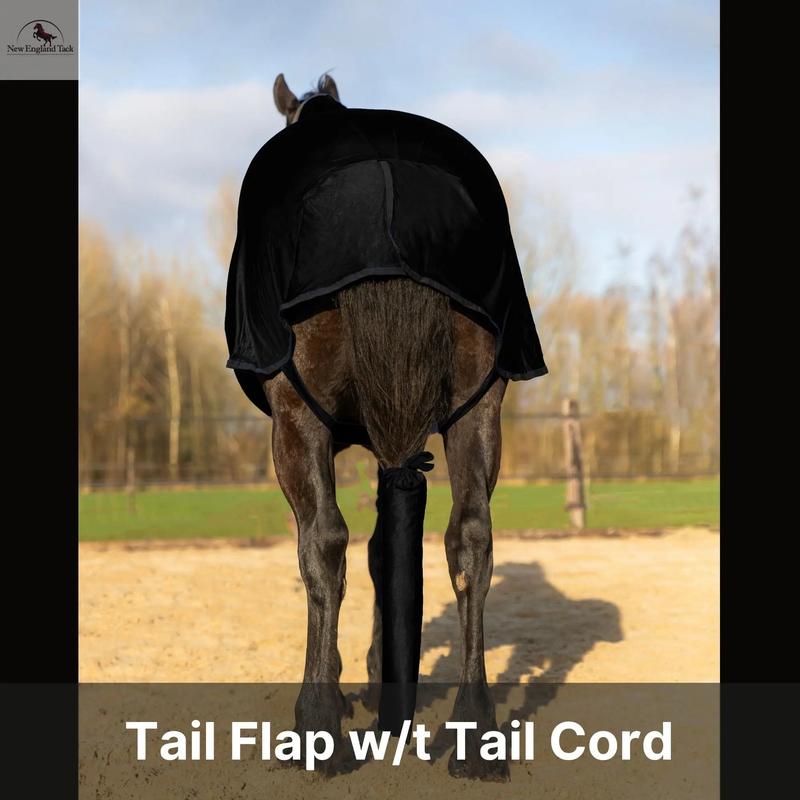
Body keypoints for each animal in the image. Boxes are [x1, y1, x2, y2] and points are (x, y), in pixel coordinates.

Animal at [225, 73, 548, 780]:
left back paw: (315, 726)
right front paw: (381, 681)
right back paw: (475, 734)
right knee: (471, 540)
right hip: (479, 411)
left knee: (322, 542)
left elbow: (340, 550)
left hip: (296, 422)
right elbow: (385, 551)